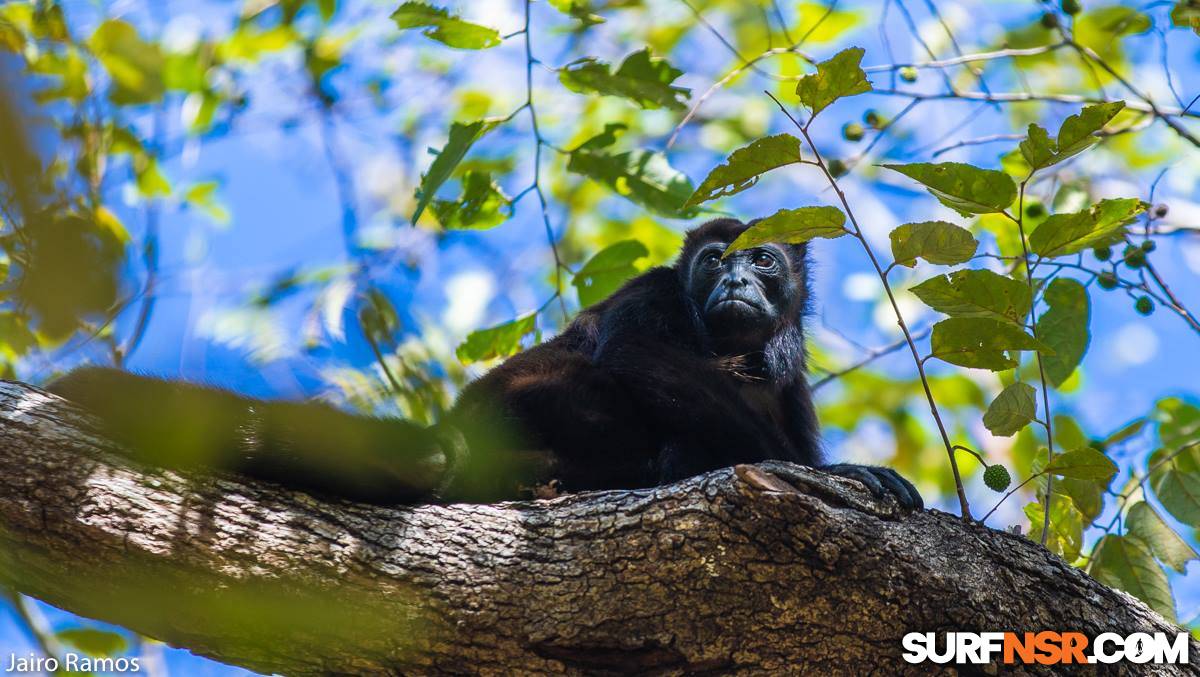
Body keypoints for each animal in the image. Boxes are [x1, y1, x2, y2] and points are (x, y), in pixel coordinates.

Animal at [49, 217, 916, 508]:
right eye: (712, 262)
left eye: (763, 260)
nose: (734, 279)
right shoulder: (654, 291)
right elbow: (636, 351)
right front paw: (842, 476)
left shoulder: (792, 376)